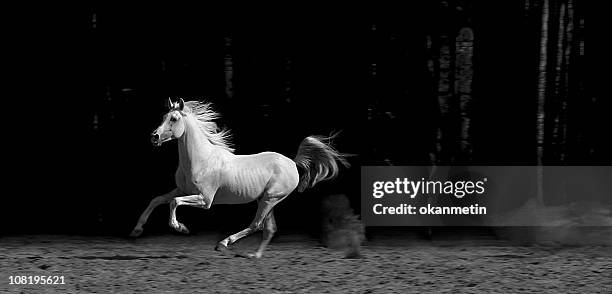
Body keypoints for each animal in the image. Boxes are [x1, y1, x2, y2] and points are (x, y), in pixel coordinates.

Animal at [130, 98, 350, 258]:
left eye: (174, 119)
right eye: (163, 116)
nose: (154, 137)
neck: (200, 160)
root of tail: (292, 162)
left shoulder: (205, 200)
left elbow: (174, 202)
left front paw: (181, 228)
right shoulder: (182, 190)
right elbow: (157, 200)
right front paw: (137, 231)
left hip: (270, 198)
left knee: (257, 225)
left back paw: (223, 244)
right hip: (266, 200)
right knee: (269, 228)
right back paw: (254, 256)